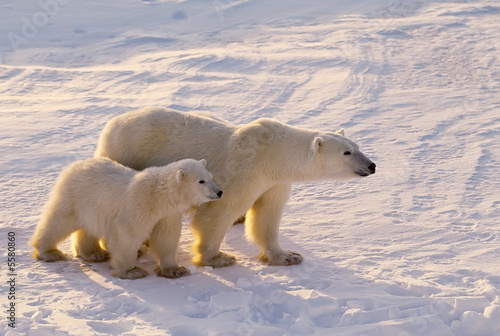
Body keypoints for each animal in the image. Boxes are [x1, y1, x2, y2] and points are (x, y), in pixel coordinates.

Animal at [94, 106, 376, 270]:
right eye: (347, 152)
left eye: (357, 146)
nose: (372, 165)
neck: (273, 153)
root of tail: (111, 124)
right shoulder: (245, 170)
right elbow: (219, 211)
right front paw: (217, 258)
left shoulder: (274, 182)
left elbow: (267, 216)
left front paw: (287, 256)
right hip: (128, 153)